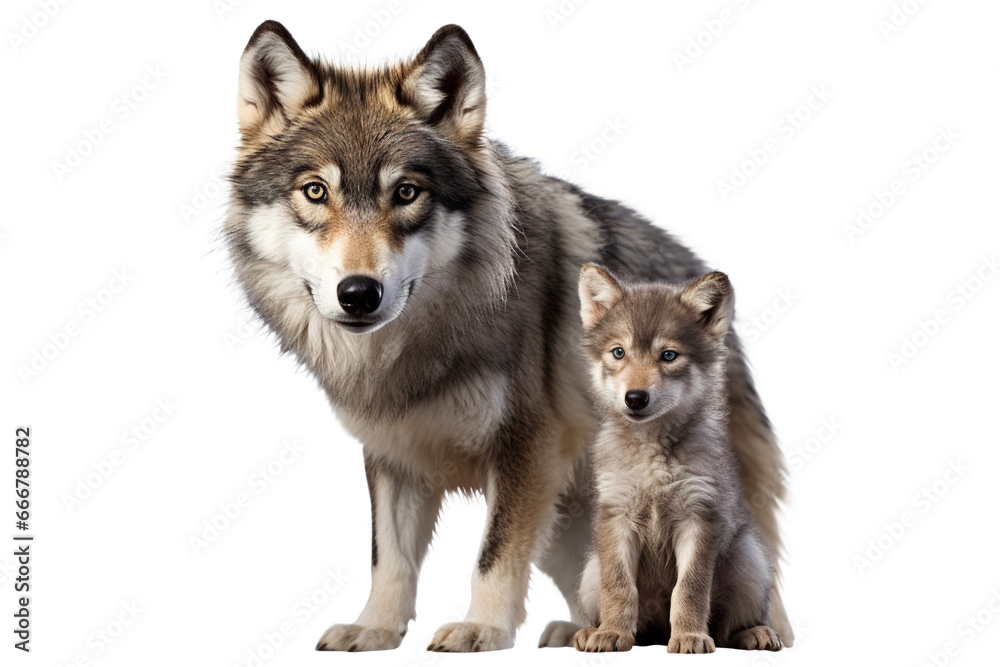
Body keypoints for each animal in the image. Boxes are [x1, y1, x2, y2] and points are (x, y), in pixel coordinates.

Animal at [573, 266, 782, 653]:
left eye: (668, 356)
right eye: (618, 352)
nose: (635, 398)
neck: (653, 453)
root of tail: (654, 633)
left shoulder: (698, 518)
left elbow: (690, 589)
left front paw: (689, 637)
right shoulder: (616, 516)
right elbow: (619, 587)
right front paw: (611, 633)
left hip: (750, 558)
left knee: (729, 628)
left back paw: (755, 633)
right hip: (591, 570)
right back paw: (588, 631)